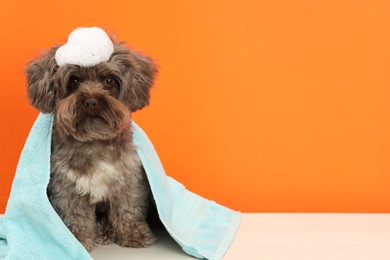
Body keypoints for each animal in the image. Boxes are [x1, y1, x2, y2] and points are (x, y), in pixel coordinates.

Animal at [24, 29, 157, 252]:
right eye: (74, 81)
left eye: (109, 80)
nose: (91, 101)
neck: (94, 140)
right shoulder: (67, 186)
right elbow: (75, 215)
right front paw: (77, 240)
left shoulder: (129, 178)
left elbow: (128, 207)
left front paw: (132, 234)